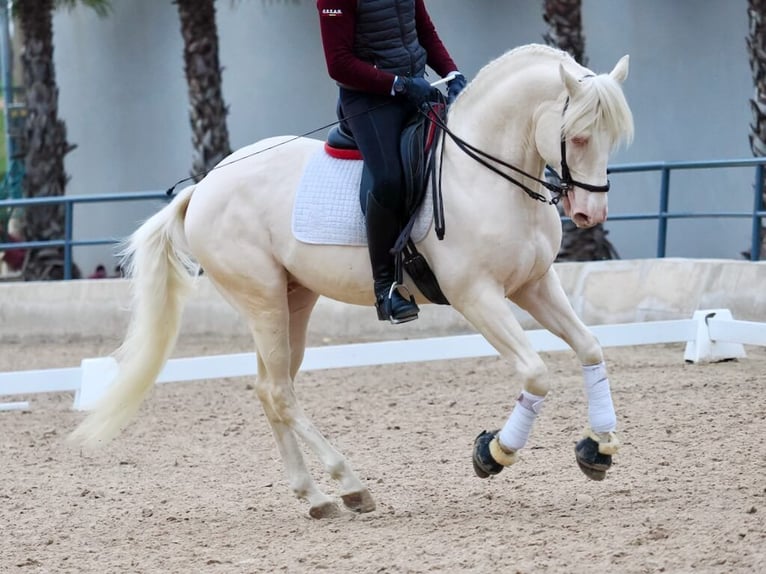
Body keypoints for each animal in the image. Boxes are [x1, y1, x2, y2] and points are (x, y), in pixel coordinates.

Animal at [72, 45, 636, 520]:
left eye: (611, 138)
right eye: (578, 135)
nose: (589, 214)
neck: (487, 176)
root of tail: (206, 185)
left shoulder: (534, 284)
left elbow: (590, 346)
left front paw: (598, 447)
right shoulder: (476, 295)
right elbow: (536, 373)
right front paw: (494, 452)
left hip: (293, 300)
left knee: (270, 390)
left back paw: (317, 497)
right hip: (262, 299)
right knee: (280, 393)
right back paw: (349, 484)